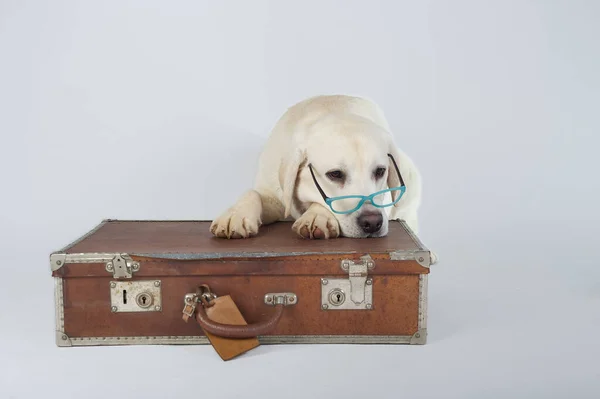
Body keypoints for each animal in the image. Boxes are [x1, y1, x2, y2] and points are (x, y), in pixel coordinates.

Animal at [211, 94, 422, 241]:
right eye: (335, 174)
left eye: (380, 171)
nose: (373, 222)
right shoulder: (274, 197)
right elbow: (252, 193)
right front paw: (236, 214)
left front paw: (316, 216)